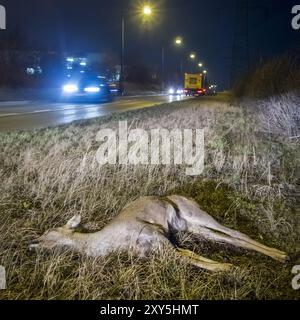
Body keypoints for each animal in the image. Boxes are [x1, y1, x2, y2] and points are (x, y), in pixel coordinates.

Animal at [29, 195, 288, 272]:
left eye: (50, 232)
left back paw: (281, 254)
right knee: (227, 237)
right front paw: (228, 267)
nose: (31, 243)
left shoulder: (156, 236)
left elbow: (191, 258)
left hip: (197, 214)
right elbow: (189, 256)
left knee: (235, 232)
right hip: (191, 227)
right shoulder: (161, 246)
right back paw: (280, 256)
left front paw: (228, 268)